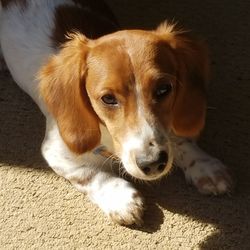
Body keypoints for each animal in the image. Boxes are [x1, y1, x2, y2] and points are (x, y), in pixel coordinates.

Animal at [0, 0, 232, 226]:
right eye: (108, 99)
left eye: (164, 89)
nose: (152, 163)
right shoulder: (56, 151)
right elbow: (90, 174)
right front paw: (120, 199)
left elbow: (176, 139)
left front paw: (202, 164)